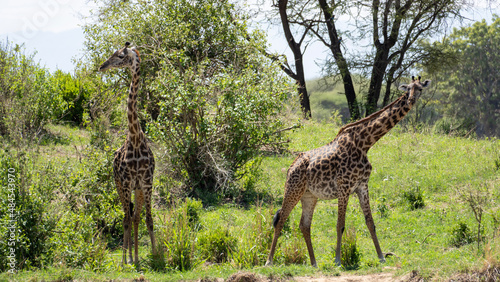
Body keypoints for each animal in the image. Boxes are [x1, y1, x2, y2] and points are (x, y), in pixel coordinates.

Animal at [98, 41, 155, 266]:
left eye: (121, 56)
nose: (102, 66)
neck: (136, 139)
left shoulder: (146, 182)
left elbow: (147, 219)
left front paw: (156, 255)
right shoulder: (127, 181)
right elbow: (127, 219)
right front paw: (126, 259)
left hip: (136, 189)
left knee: (134, 216)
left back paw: (135, 257)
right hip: (119, 185)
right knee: (125, 216)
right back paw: (127, 258)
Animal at [266, 75, 430, 266]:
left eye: (420, 88)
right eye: (408, 88)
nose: (411, 100)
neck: (365, 143)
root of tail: (290, 167)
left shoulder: (362, 186)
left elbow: (370, 222)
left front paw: (381, 256)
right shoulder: (343, 186)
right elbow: (340, 224)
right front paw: (338, 260)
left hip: (309, 196)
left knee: (304, 225)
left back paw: (314, 263)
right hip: (293, 189)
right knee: (281, 220)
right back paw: (269, 261)